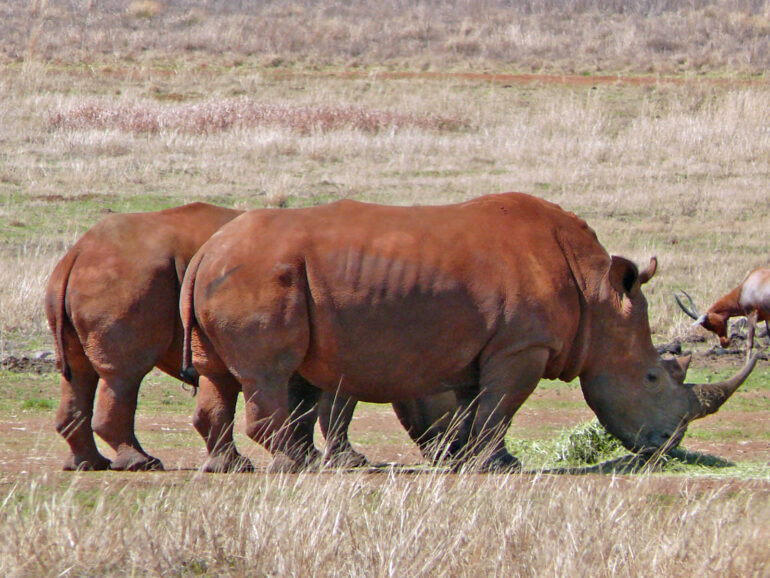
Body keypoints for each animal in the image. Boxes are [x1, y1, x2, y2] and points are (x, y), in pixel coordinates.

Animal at [46, 202, 435, 472]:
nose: (443, 453)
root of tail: (77, 252)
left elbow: (306, 407)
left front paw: (309, 456)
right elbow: (333, 405)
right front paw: (347, 462)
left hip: (103, 276)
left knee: (79, 372)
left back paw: (88, 465)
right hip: (129, 276)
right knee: (126, 373)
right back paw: (144, 463)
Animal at [180, 192, 757, 472]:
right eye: (653, 378)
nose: (666, 447)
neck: (598, 294)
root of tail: (205, 252)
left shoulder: (477, 345)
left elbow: (471, 407)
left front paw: (461, 459)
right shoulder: (521, 345)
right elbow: (501, 408)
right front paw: (501, 466)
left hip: (235, 274)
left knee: (221, 377)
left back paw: (235, 468)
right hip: (259, 275)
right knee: (268, 374)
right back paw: (295, 467)